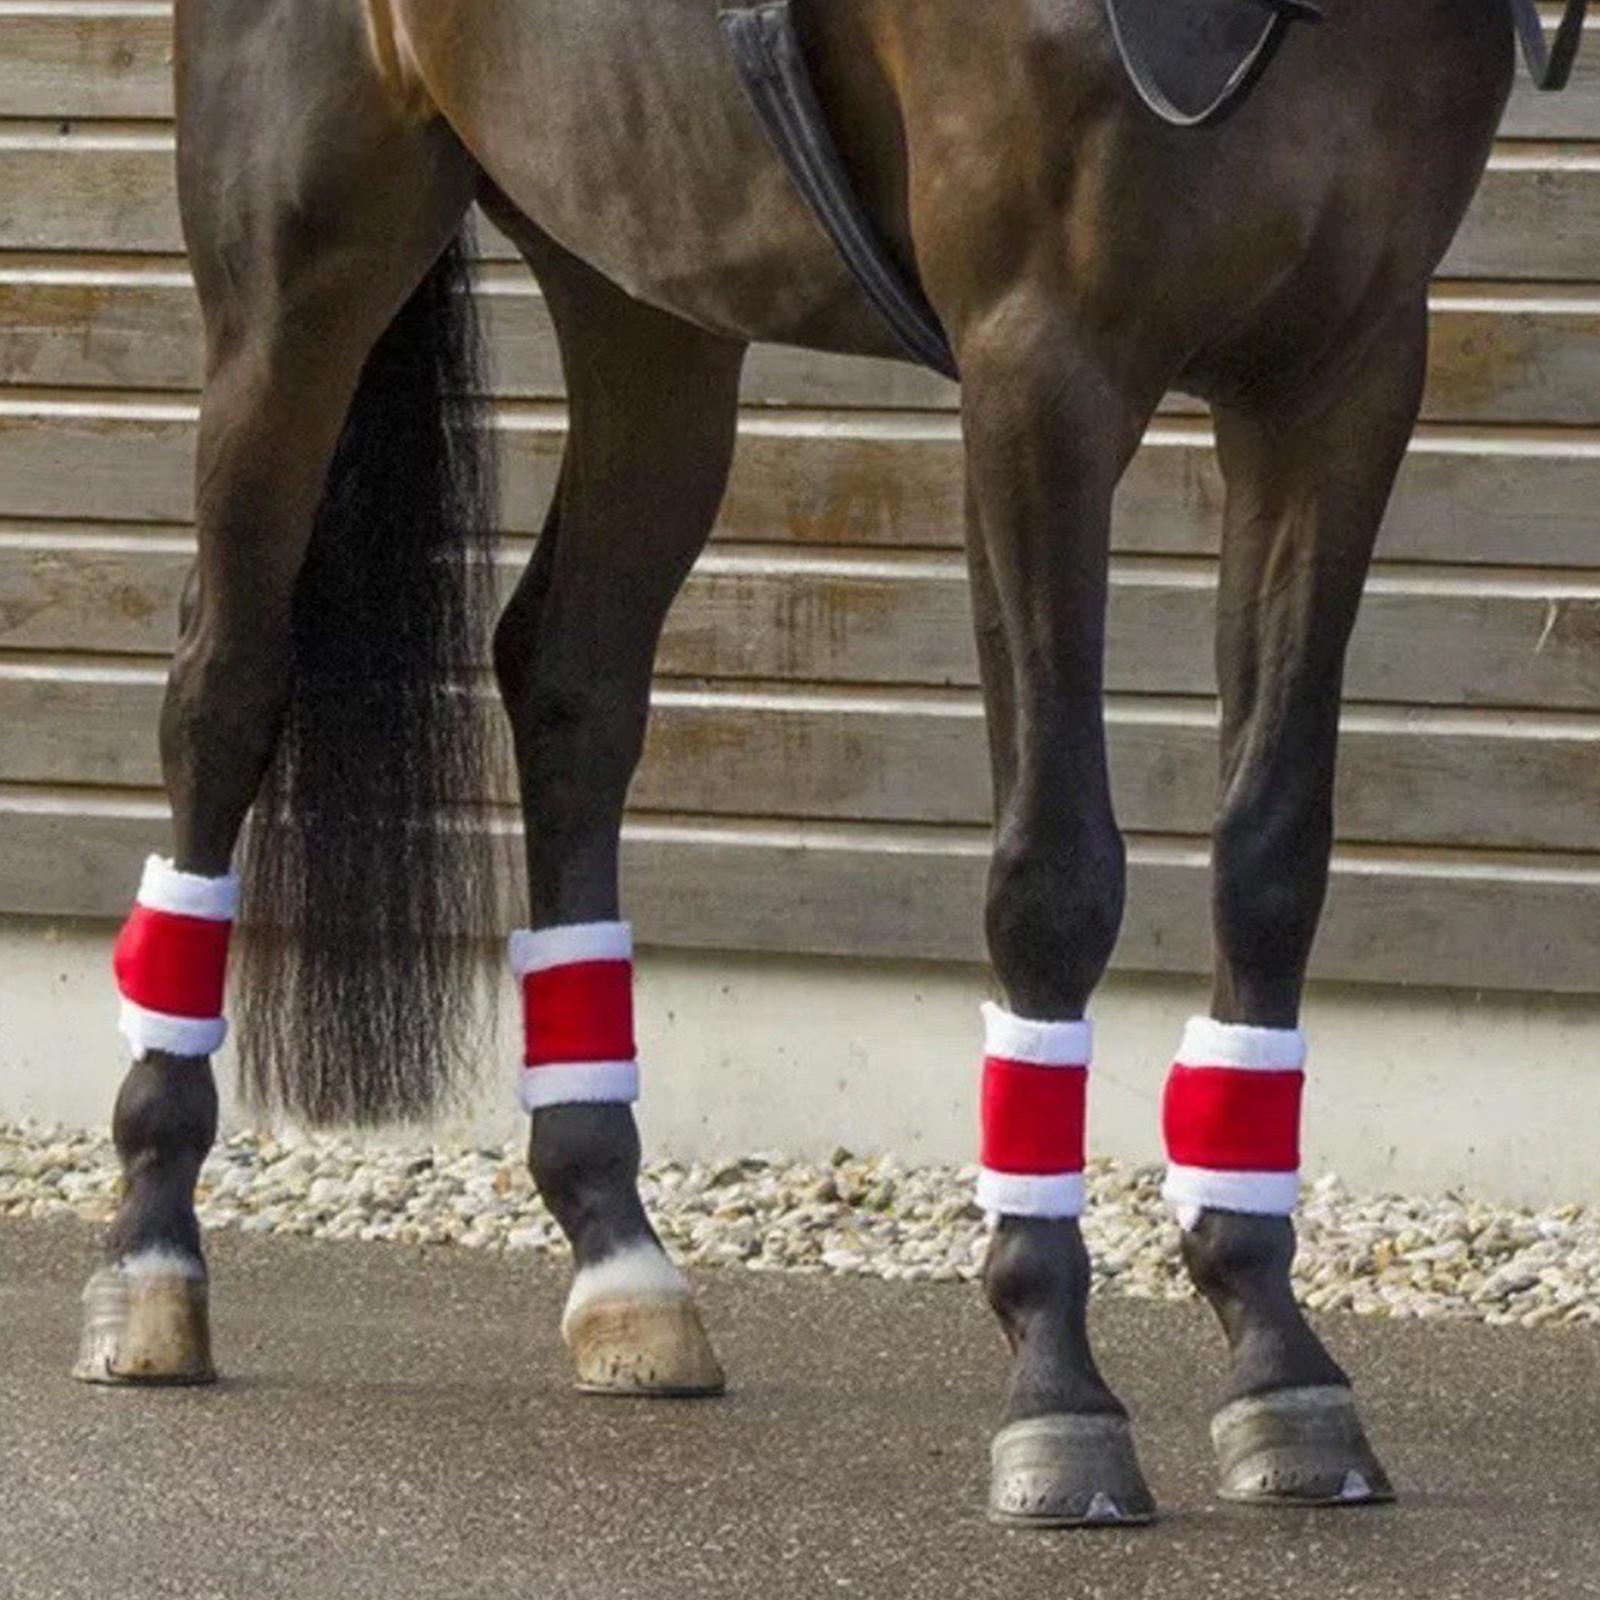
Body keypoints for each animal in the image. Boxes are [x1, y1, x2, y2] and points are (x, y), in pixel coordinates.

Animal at [74, 0, 1520, 1528]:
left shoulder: (1341, 374)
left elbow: (1270, 854)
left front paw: (1275, 1352)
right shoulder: (1039, 371)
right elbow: (1055, 874)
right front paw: (1057, 1387)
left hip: (641, 284)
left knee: (573, 679)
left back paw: (621, 1261)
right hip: (302, 275)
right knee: (225, 685)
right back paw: (150, 1259)